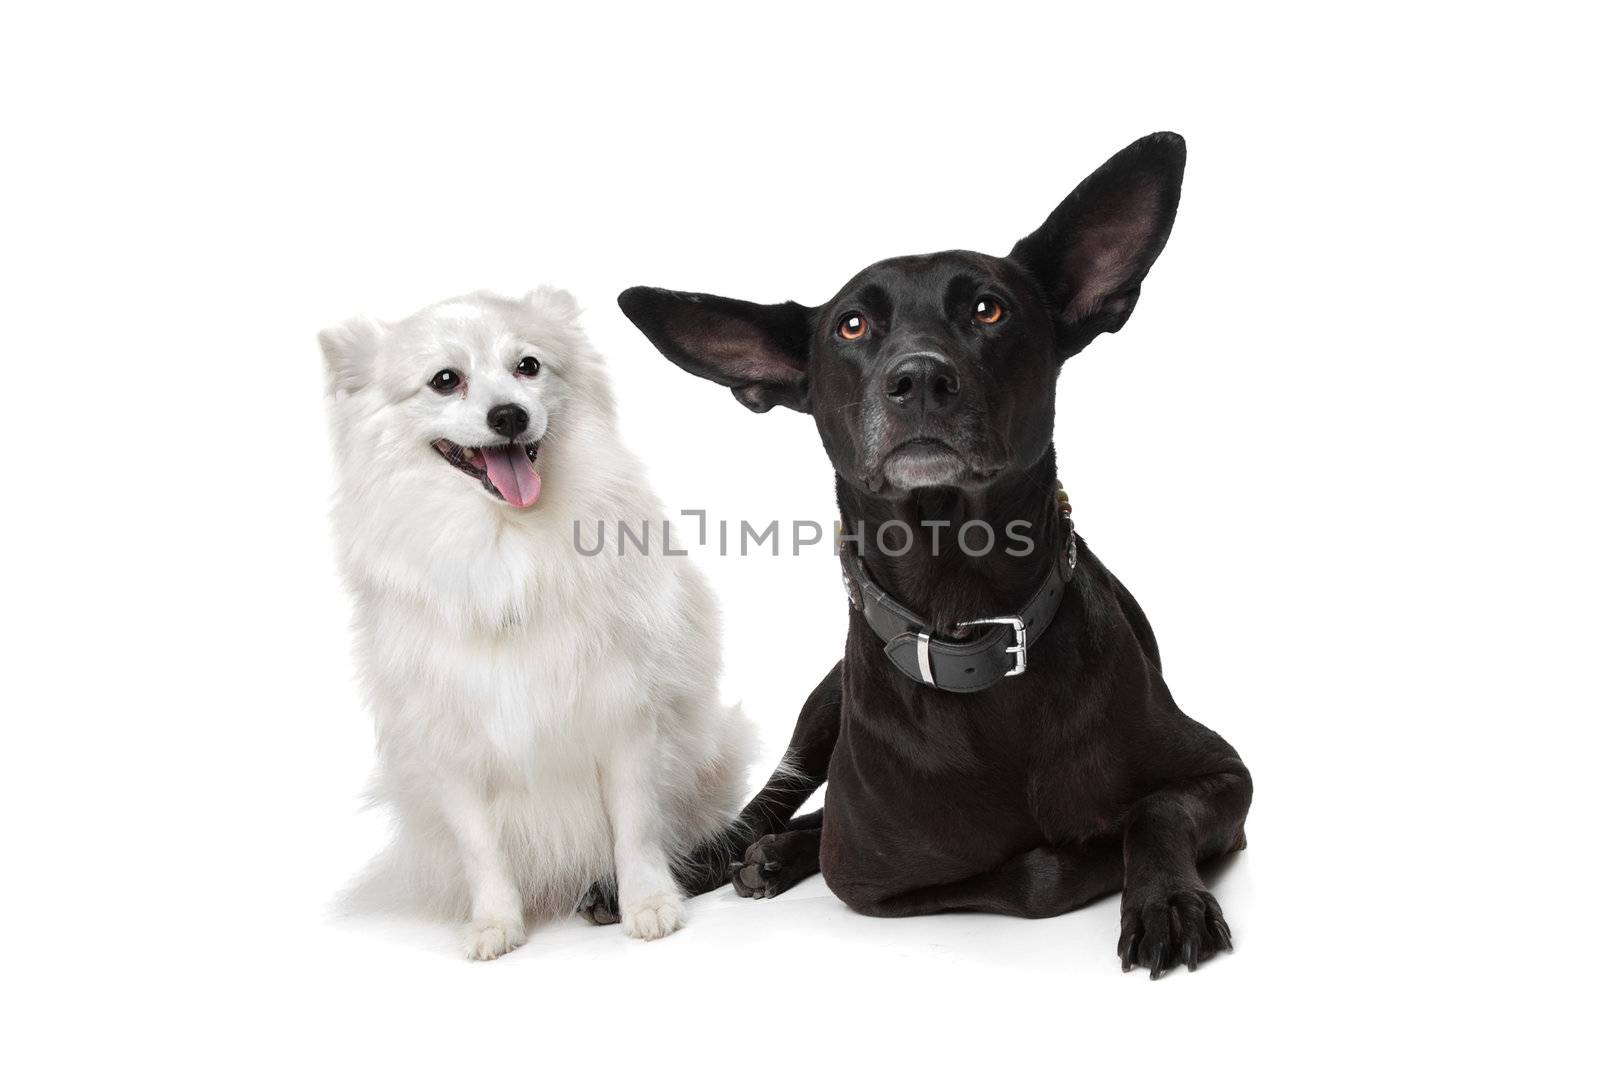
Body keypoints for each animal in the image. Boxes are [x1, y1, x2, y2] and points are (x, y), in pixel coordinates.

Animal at [323, 286, 755, 959]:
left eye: (528, 366)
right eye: (445, 380)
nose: (509, 416)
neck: (508, 542)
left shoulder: (624, 714)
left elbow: (634, 826)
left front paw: (647, 904)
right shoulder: (451, 745)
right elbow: (482, 849)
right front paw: (496, 925)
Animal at [604, 131, 1241, 979]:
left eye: (988, 307)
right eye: (850, 326)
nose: (920, 377)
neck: (964, 609)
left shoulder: (1225, 773)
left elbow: (1151, 810)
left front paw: (1165, 894)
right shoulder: (866, 878)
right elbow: (1034, 870)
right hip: (823, 706)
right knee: (767, 800)